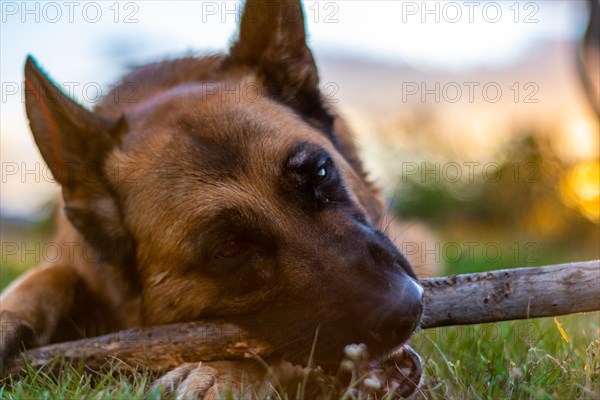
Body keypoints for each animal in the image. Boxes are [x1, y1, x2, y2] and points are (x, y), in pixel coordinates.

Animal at [1, 0, 426, 396]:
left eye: (320, 173)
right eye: (230, 247)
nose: (407, 309)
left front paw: (220, 372)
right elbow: (49, 274)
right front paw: (8, 316)